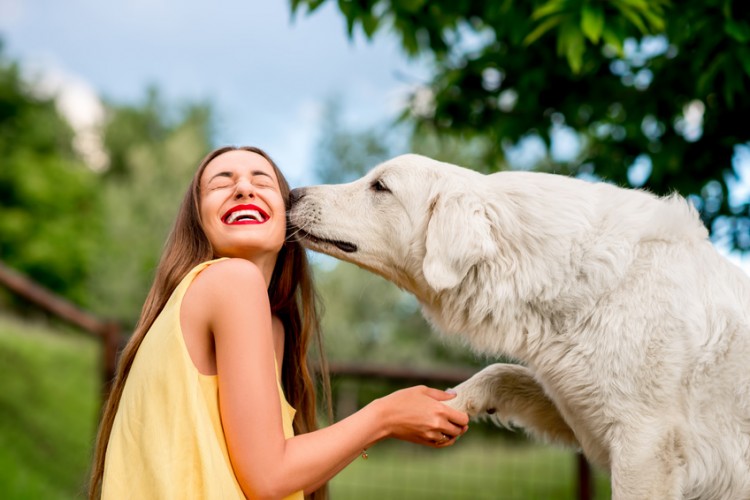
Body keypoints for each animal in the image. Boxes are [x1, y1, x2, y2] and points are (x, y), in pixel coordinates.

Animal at [288, 154, 750, 498]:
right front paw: (451, 406)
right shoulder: (575, 403)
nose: (292, 193)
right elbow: (500, 372)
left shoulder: (644, 447)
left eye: (380, 187)